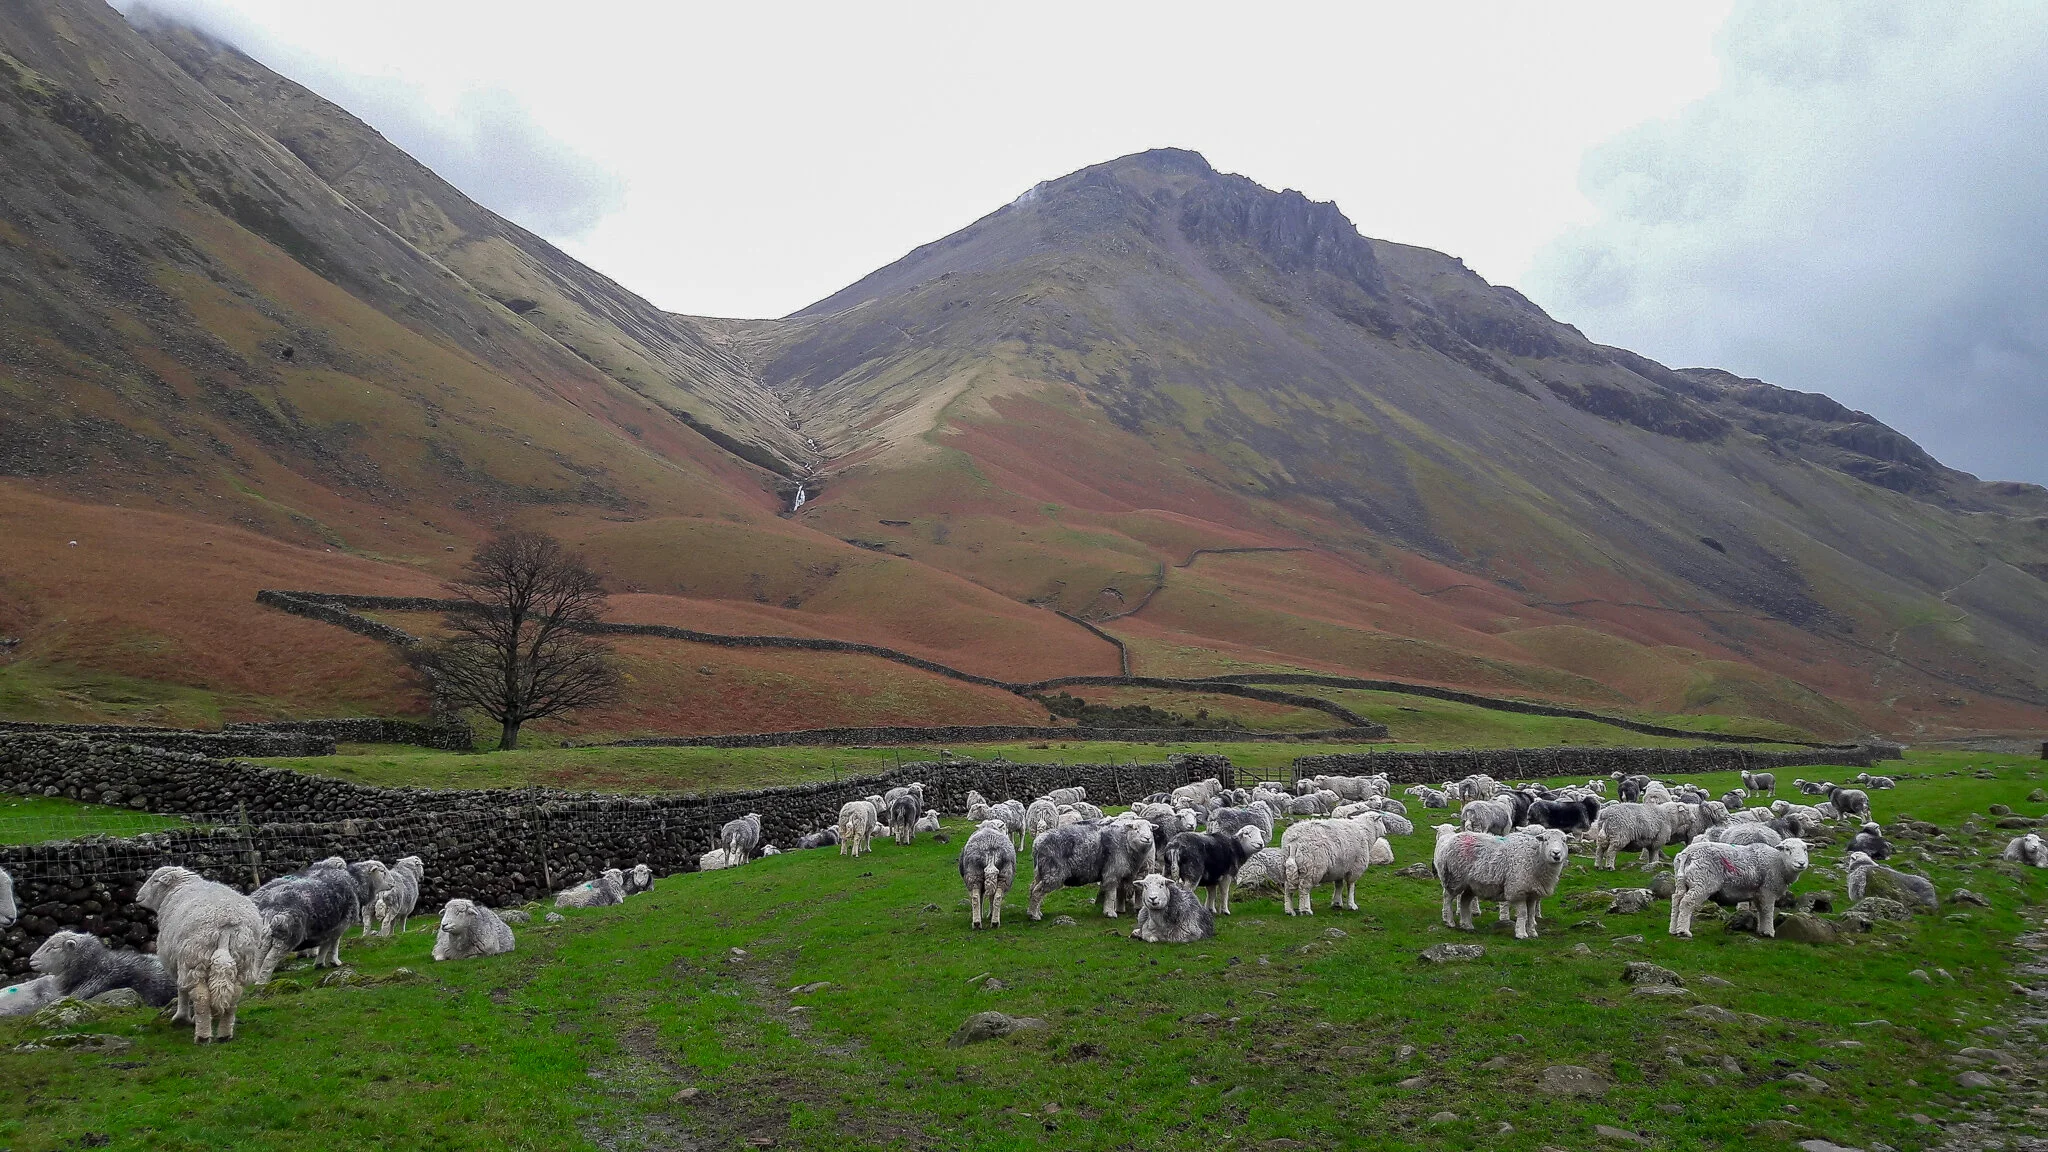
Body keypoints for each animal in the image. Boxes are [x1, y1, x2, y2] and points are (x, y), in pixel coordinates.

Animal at [136, 860, 266, 1041]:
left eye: (155, 880)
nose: (137, 897)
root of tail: (228, 921)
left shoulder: (175, 961)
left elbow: (181, 990)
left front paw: (181, 1017)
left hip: (193, 957)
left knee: (201, 996)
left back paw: (202, 1035)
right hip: (243, 958)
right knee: (234, 994)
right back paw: (225, 1033)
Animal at [1671, 832, 1818, 934]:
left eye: (1805, 850)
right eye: (1787, 849)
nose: (1801, 863)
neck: (1779, 863)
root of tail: (1686, 854)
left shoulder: (1759, 892)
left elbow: (1761, 910)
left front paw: (1761, 930)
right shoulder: (1768, 890)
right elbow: (1767, 910)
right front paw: (1769, 932)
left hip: (1682, 881)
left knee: (1676, 900)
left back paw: (1673, 929)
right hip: (1702, 881)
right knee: (1687, 902)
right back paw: (1683, 931)